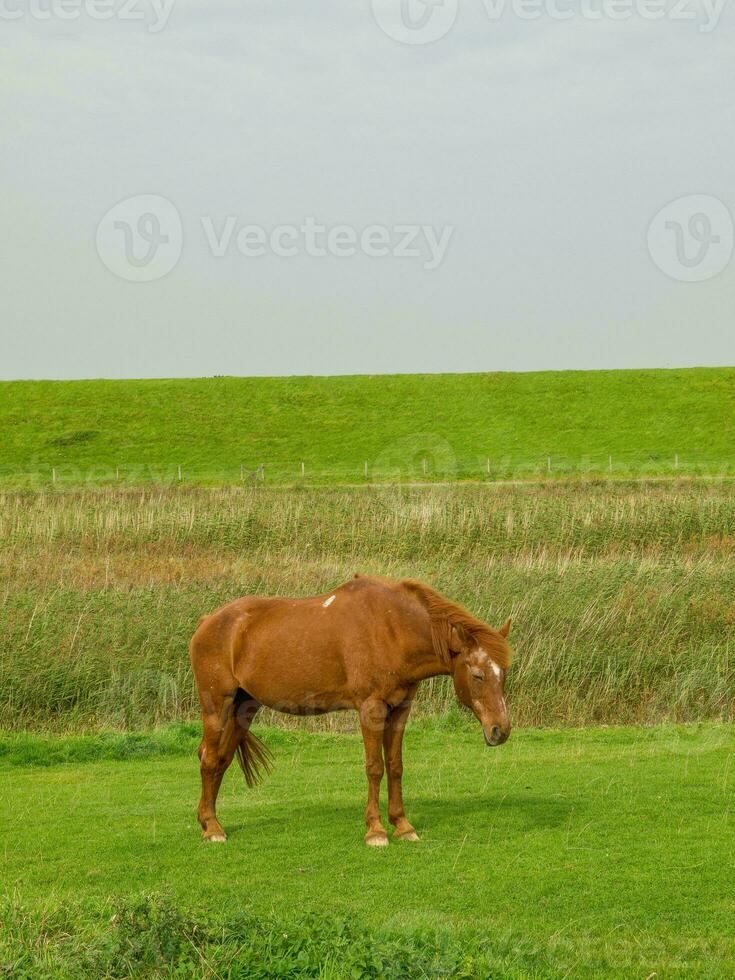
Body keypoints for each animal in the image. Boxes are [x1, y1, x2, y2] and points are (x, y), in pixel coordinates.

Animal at [190, 576, 512, 844]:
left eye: (503, 673)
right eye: (477, 675)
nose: (501, 730)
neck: (391, 627)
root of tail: (207, 622)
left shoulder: (400, 709)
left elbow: (395, 766)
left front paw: (403, 826)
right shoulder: (371, 709)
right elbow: (375, 768)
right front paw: (376, 830)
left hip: (243, 708)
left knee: (221, 760)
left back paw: (209, 823)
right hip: (217, 706)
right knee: (209, 759)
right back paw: (212, 829)